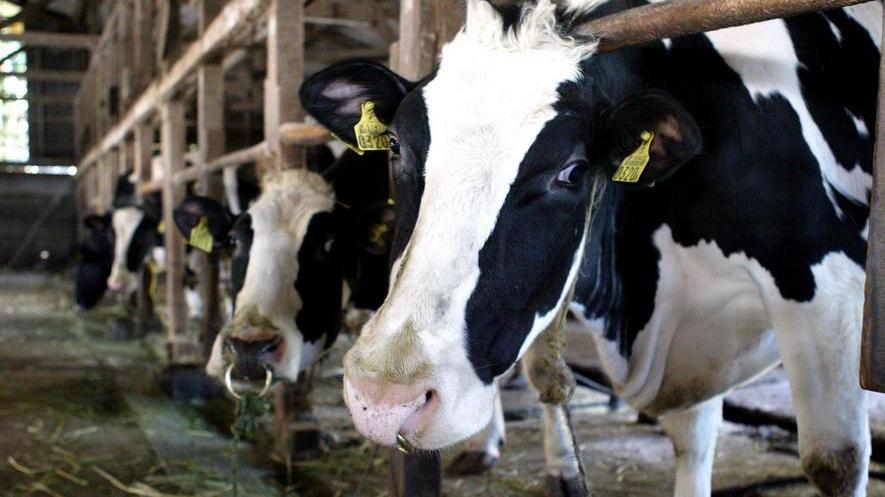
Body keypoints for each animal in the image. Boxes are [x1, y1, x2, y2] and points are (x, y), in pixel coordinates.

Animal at [300, 1, 879, 495]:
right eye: (396, 146)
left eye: (572, 172)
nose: (384, 397)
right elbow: (689, 434)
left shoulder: (828, 287)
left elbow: (834, 460)